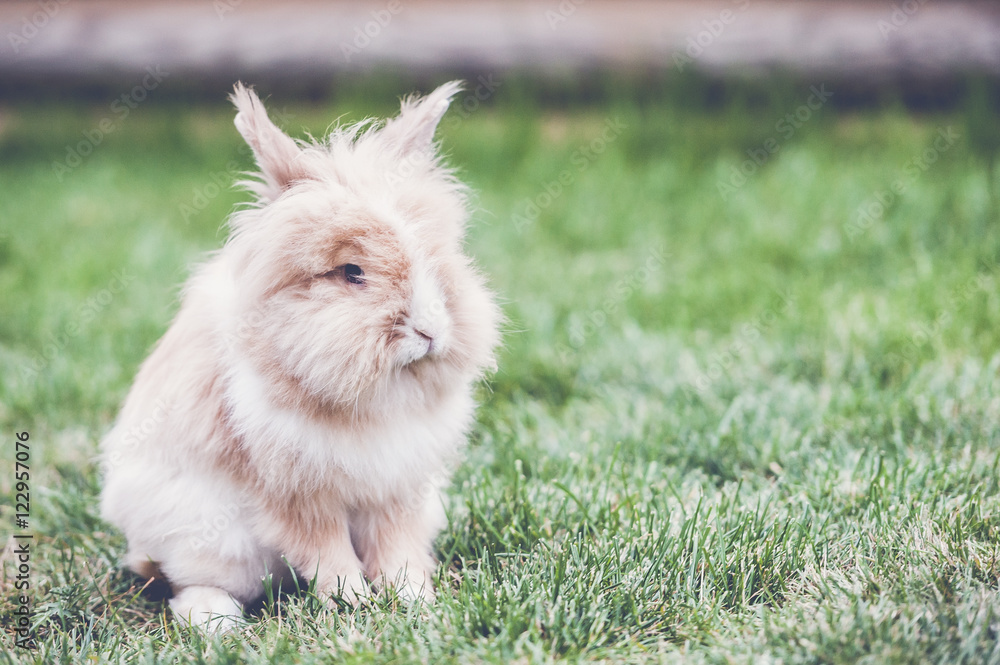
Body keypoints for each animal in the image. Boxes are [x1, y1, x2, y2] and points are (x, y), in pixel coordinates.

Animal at [99, 81, 502, 632]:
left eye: (438, 258)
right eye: (352, 272)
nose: (430, 330)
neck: (377, 397)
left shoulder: (399, 488)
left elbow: (396, 549)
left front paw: (416, 601)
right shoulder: (299, 496)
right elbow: (328, 554)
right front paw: (353, 606)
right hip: (206, 537)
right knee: (183, 584)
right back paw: (217, 623)